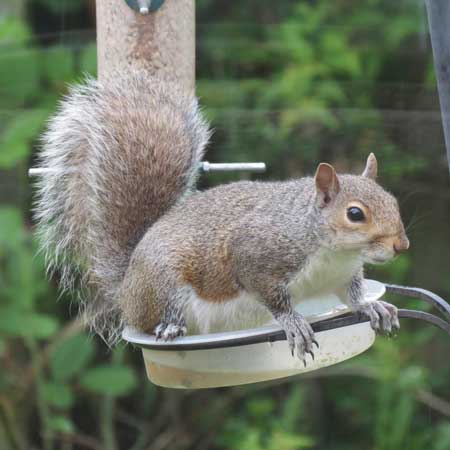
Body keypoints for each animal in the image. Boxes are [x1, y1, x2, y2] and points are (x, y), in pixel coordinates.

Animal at [35, 70, 408, 362]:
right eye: (355, 214)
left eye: (393, 201)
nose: (401, 246)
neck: (331, 250)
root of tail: (126, 289)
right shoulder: (257, 255)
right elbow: (272, 296)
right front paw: (293, 322)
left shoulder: (343, 275)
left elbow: (353, 296)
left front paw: (372, 307)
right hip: (164, 282)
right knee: (160, 315)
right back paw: (170, 326)